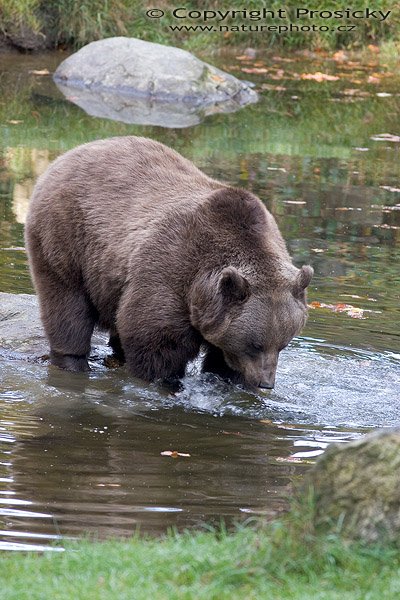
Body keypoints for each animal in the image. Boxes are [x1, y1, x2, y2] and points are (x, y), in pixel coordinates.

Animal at [25, 136, 314, 390]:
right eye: (255, 345)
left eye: (283, 344)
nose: (266, 383)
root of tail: (70, 153)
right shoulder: (173, 268)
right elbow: (155, 340)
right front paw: (165, 380)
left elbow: (222, 358)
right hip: (65, 235)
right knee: (67, 302)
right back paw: (72, 360)